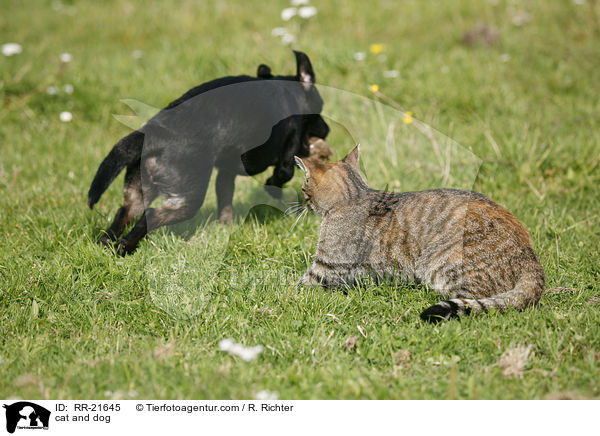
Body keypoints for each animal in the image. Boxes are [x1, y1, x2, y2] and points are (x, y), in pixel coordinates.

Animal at [89, 50, 330, 255]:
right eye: (319, 109)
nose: (326, 128)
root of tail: (155, 132)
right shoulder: (290, 141)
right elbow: (284, 172)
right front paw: (275, 189)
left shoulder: (226, 171)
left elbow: (225, 197)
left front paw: (226, 226)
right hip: (188, 197)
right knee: (151, 216)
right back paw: (125, 247)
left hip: (139, 190)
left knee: (125, 212)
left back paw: (106, 243)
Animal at [298, 145, 548, 322]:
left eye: (303, 186)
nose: (303, 200)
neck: (355, 194)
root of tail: (530, 257)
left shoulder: (325, 270)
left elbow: (293, 285)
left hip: (444, 264)